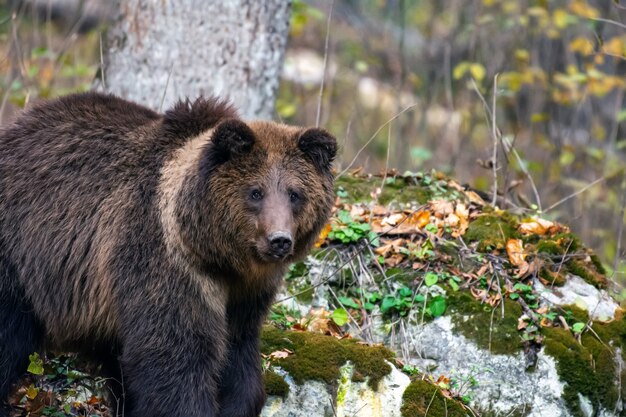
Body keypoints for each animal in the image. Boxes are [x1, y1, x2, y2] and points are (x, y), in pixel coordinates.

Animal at [0, 92, 336, 416]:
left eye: (294, 194)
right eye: (255, 192)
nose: (279, 240)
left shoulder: (246, 295)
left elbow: (238, 350)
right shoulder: (167, 266)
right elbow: (175, 357)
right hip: (19, 256)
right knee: (10, 337)